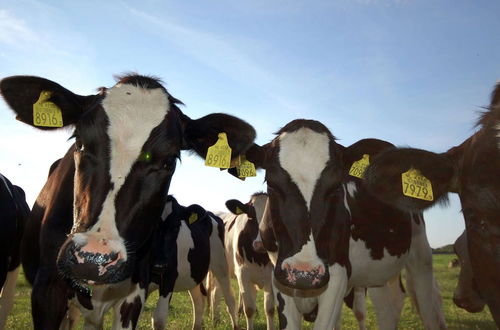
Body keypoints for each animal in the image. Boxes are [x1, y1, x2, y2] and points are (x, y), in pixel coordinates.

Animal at [148, 196, 238, 330]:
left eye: (176, 227)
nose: (159, 265)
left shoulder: (169, 276)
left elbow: (158, 320)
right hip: (193, 274)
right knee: (199, 300)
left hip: (220, 264)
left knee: (230, 299)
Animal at [242, 122, 446, 330]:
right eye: (272, 183)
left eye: (335, 186)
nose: (303, 274)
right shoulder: (279, 276)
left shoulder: (338, 275)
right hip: (377, 273)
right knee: (388, 311)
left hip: (421, 257)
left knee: (428, 311)